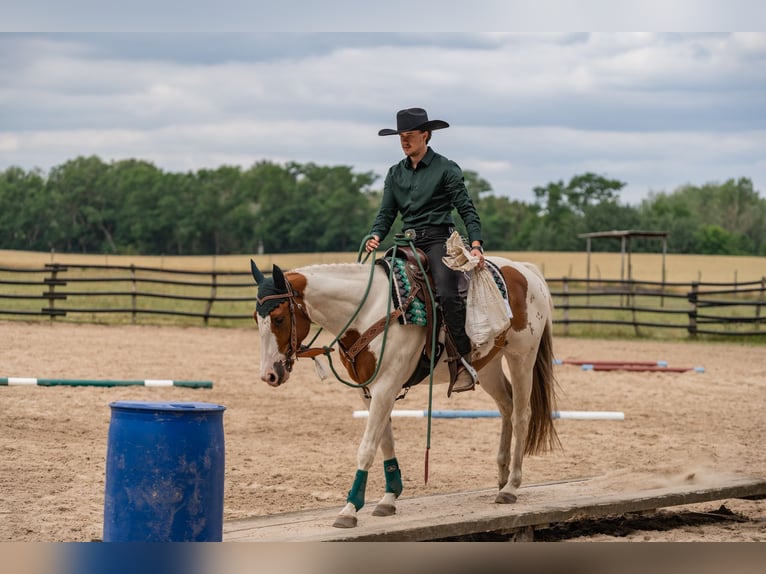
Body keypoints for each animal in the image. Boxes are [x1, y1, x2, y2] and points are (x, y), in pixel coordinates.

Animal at [250, 256, 560, 532]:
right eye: (256, 318)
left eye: (278, 318)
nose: (269, 375)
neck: (369, 312)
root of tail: (525, 269)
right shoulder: (370, 390)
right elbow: (385, 440)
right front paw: (389, 497)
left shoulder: (386, 385)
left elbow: (367, 447)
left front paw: (349, 509)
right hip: (489, 365)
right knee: (506, 406)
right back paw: (502, 475)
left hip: (522, 357)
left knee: (521, 414)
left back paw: (512, 486)